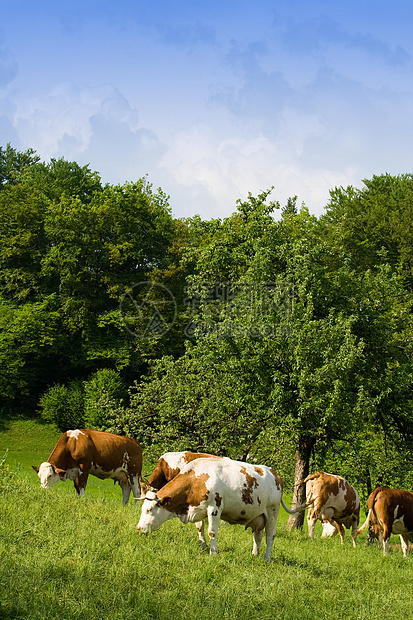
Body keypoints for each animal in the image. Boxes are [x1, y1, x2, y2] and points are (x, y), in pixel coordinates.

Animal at [135, 456, 306, 560]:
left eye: (149, 510)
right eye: (142, 509)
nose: (138, 528)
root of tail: (274, 473)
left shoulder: (214, 508)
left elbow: (212, 532)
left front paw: (214, 552)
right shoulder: (198, 509)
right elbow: (200, 528)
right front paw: (203, 546)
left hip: (272, 511)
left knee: (270, 536)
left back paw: (267, 558)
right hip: (258, 516)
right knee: (258, 536)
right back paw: (254, 554)